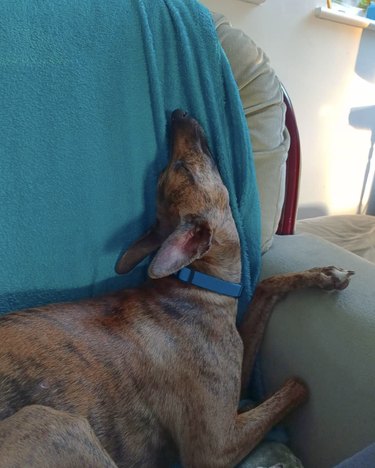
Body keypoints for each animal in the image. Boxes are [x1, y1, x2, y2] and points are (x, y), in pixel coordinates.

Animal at [0, 109, 356, 464]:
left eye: (170, 171)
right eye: (181, 168)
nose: (175, 114)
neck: (199, 284)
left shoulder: (235, 376)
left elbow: (267, 285)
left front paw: (326, 274)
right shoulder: (215, 447)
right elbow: (298, 384)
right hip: (53, 423)